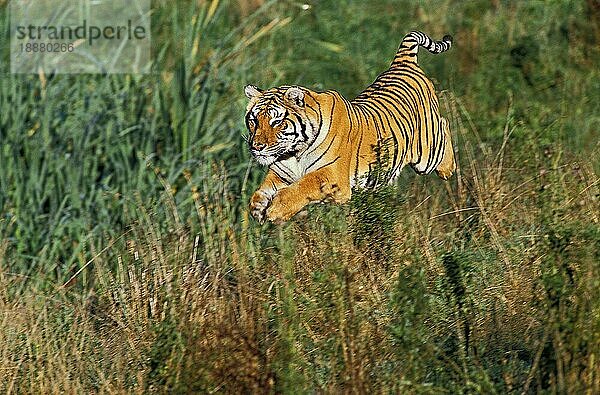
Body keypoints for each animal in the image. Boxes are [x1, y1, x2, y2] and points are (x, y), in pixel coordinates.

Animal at [244, 29, 454, 224]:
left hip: (426, 155)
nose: (256, 147)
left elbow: (306, 184)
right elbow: (264, 188)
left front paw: (277, 209)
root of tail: (402, 62)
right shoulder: (282, 174)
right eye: (253, 120)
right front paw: (257, 207)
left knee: (444, 124)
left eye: (277, 122)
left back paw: (448, 169)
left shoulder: (333, 176)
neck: (295, 152)